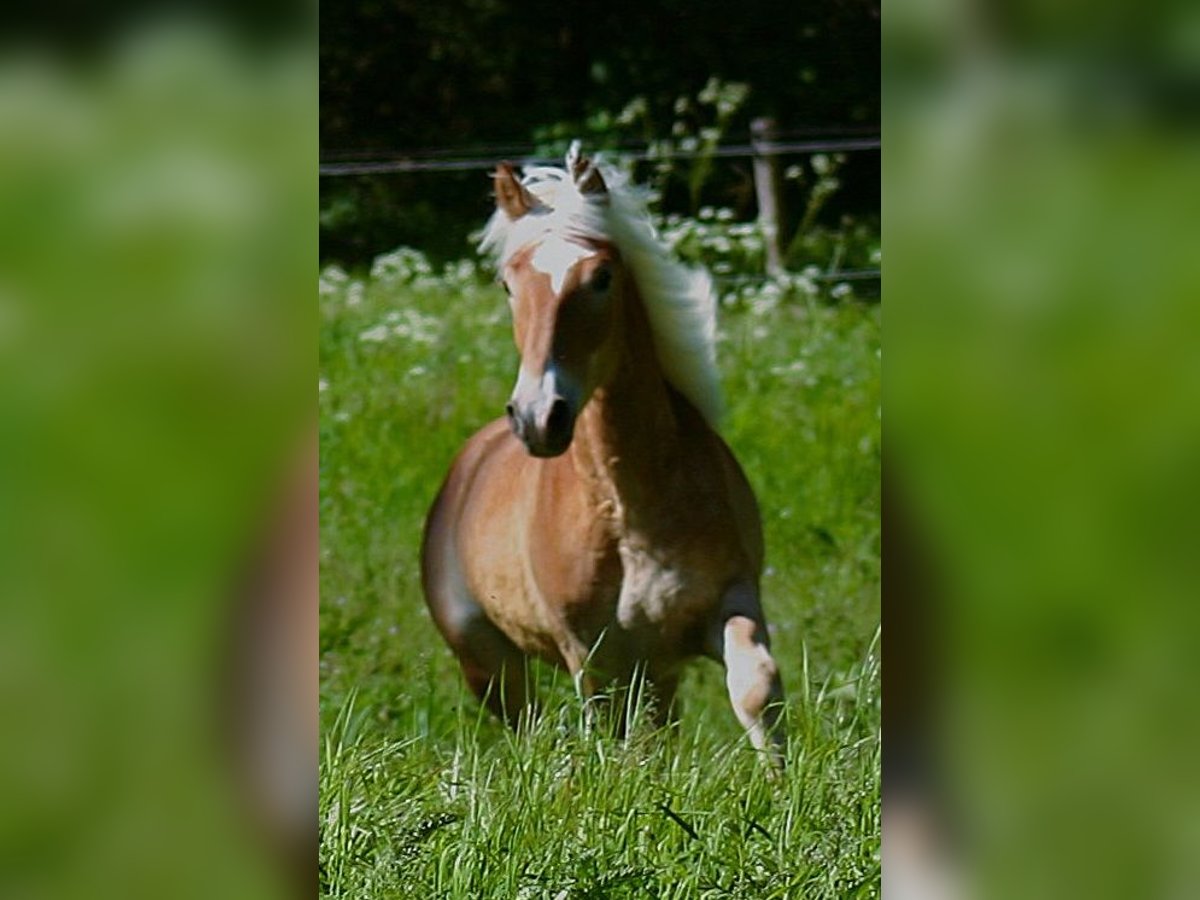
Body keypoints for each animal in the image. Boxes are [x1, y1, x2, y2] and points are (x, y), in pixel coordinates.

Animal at [422, 144, 787, 763]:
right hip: (488, 663)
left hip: (657, 672)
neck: (633, 510)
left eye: (600, 277)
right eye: (508, 284)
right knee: (531, 722)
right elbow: (613, 743)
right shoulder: (592, 655)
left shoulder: (729, 601)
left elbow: (756, 690)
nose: (538, 416)